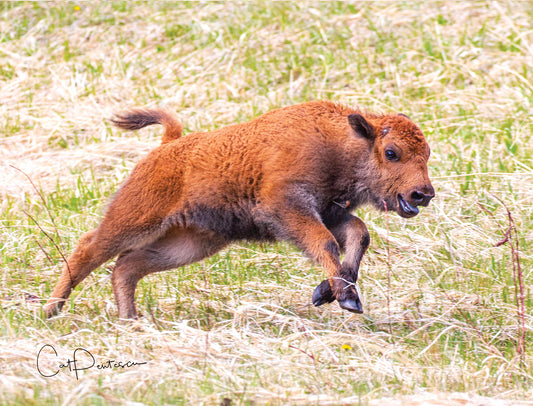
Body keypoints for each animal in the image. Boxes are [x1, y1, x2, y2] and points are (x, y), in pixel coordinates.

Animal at [43, 100, 434, 318]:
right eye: (391, 152)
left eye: (427, 153)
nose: (423, 194)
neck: (340, 142)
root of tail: (170, 145)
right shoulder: (289, 209)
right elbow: (326, 243)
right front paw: (346, 299)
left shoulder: (332, 214)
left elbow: (357, 236)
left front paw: (330, 293)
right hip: (137, 219)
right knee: (90, 248)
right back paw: (51, 310)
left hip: (192, 243)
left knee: (127, 267)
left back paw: (129, 320)